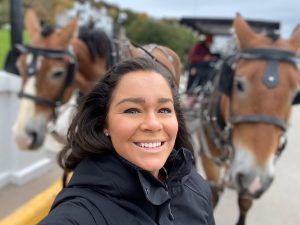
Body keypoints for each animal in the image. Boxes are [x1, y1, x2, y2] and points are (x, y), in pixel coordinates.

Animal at [191, 13, 298, 223]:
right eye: (238, 84)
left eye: (295, 94)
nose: (253, 177)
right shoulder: (212, 164)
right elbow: (213, 193)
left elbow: (245, 202)